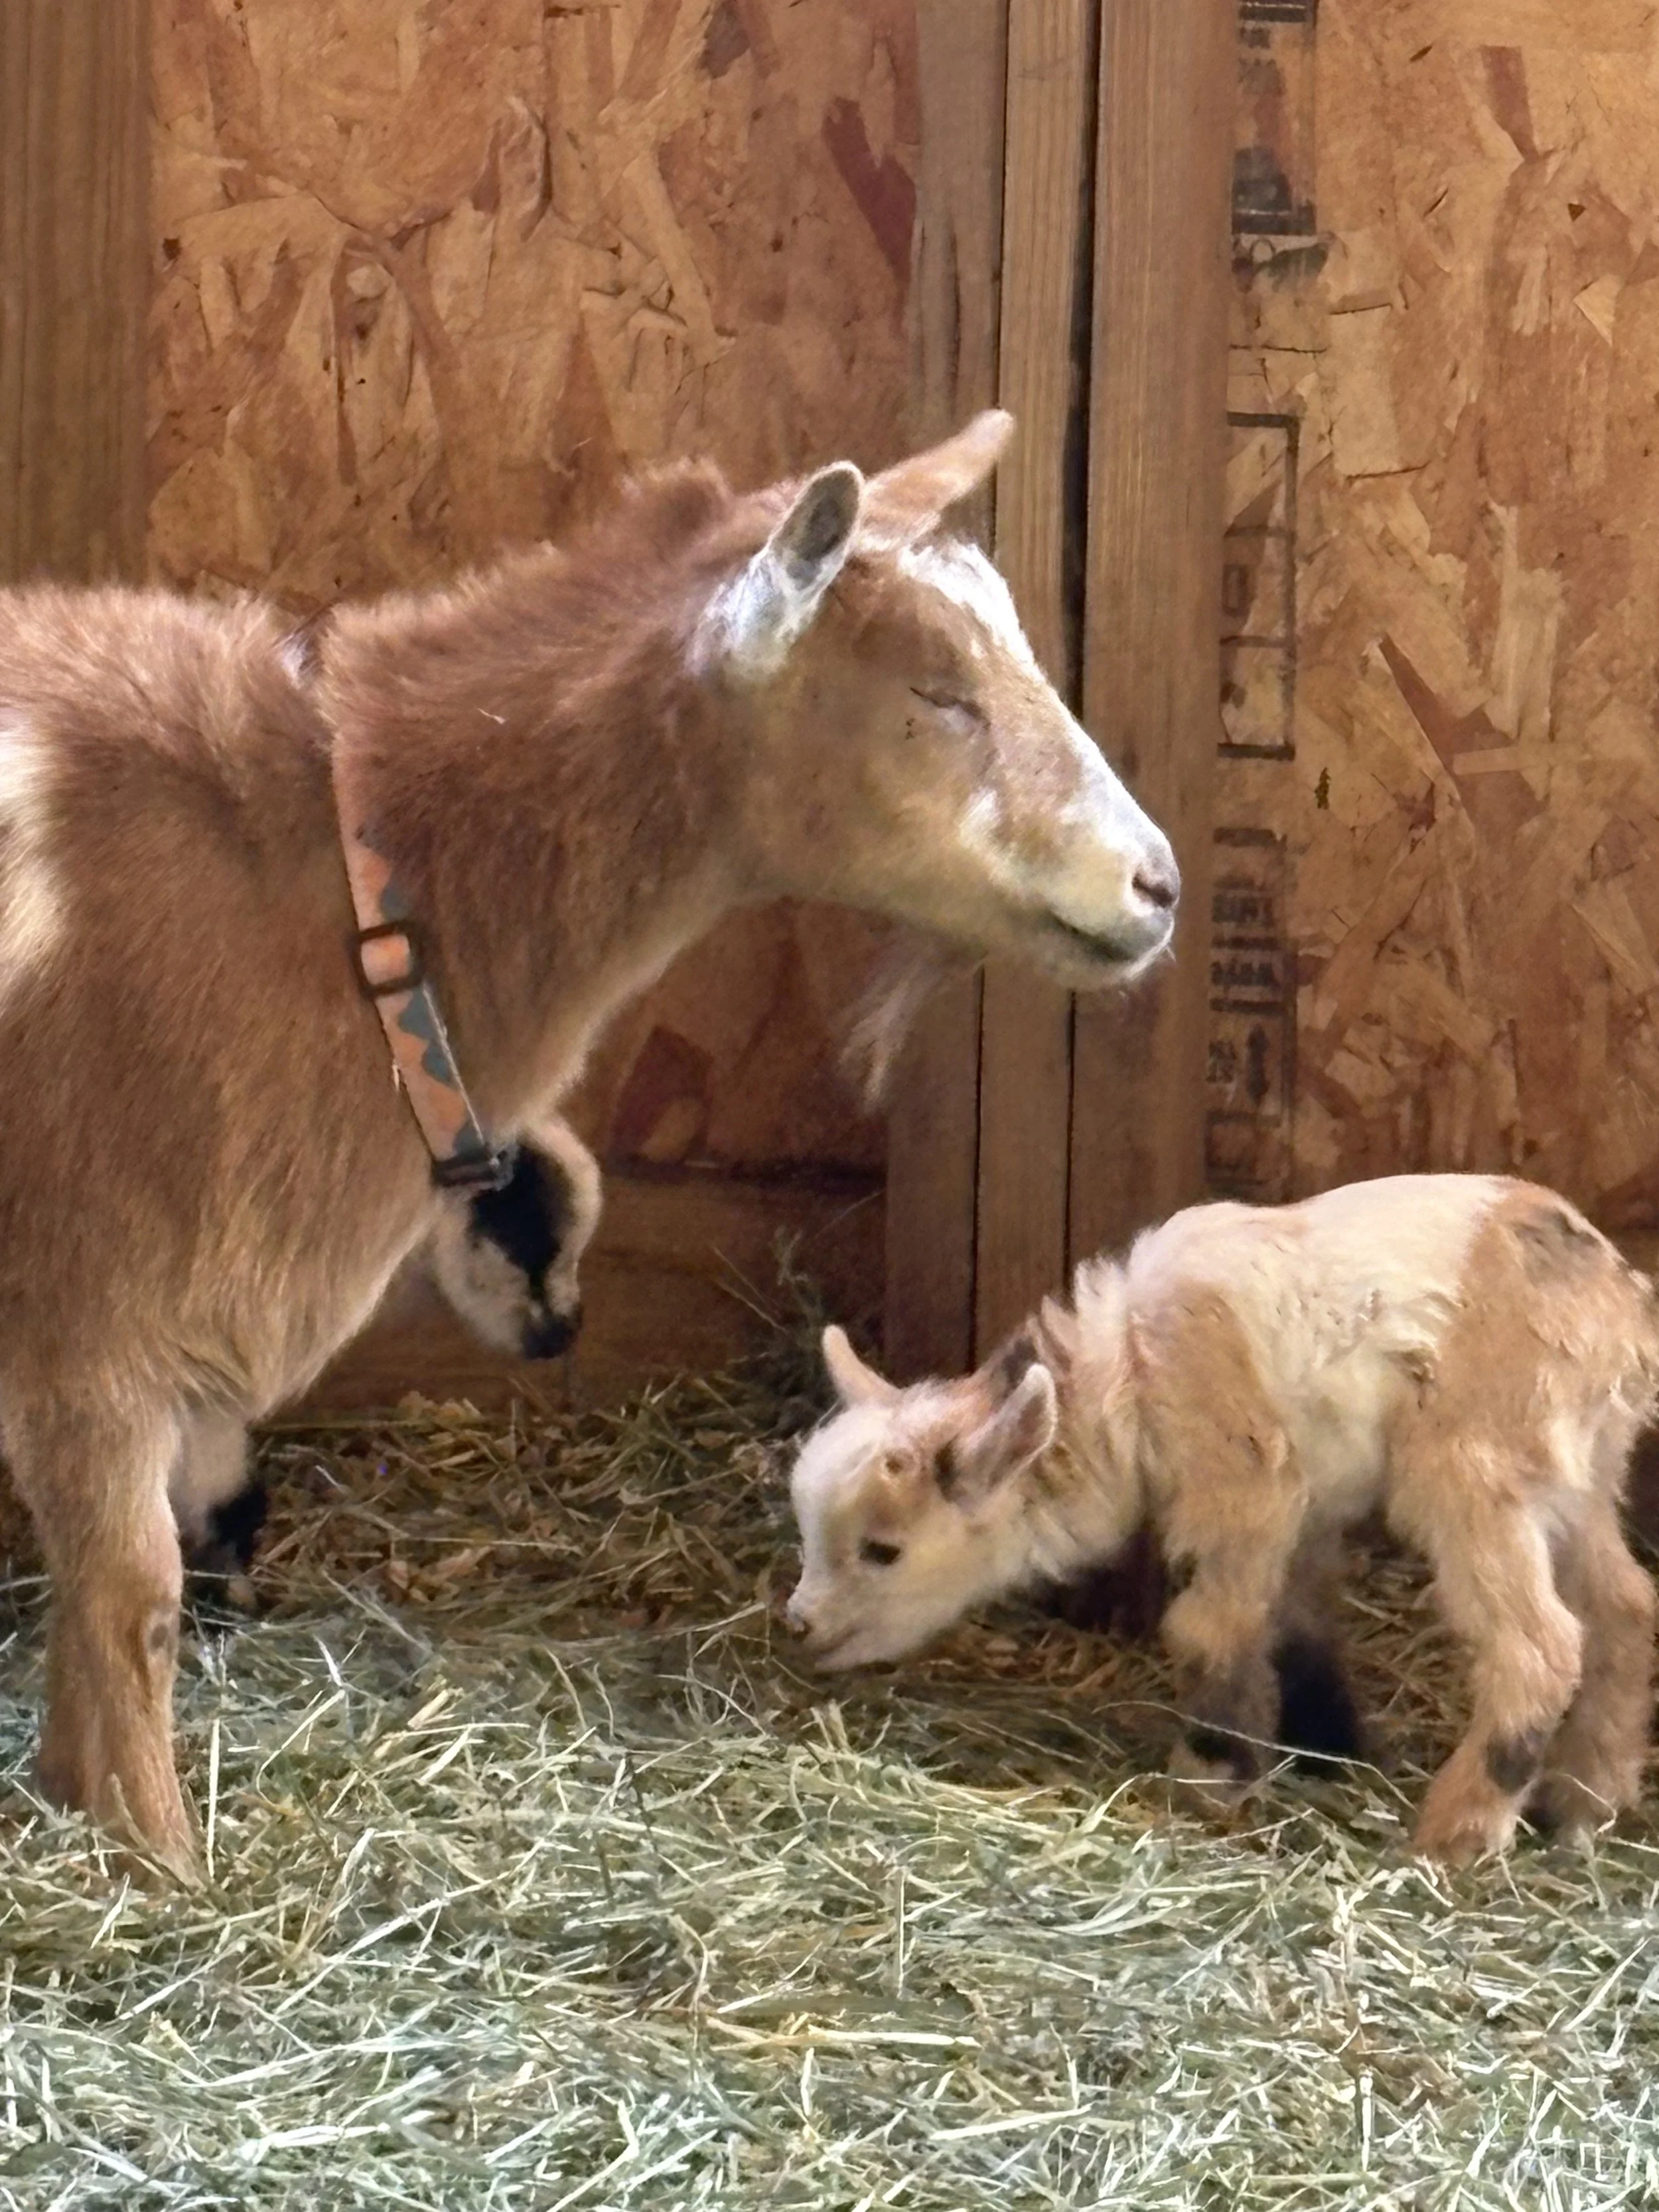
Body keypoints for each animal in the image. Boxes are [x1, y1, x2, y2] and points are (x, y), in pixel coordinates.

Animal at [0, 410, 1177, 1874]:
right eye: (936, 690)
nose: (1157, 885)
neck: (344, 880)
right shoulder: (92, 1315)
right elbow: (130, 1604)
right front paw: (161, 1869)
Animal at [786, 1174, 1659, 1865]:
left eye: (883, 1550)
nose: (798, 1626)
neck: (1127, 1373)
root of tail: (1617, 1315)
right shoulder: (1305, 1506)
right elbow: (1296, 1620)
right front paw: (1321, 1746)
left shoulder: (1242, 1483)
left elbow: (1211, 1625)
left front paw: (1210, 1773)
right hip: (1582, 1474)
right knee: (1623, 1606)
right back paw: (1584, 1800)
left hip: (1473, 1471)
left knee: (1539, 1644)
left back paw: (1461, 1832)